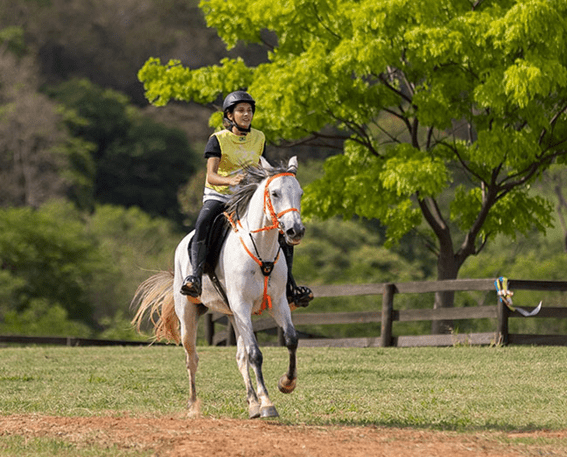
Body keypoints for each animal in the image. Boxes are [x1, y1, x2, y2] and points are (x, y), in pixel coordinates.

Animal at [133, 156, 304, 416]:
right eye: (274, 193)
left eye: (300, 193)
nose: (296, 230)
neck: (260, 250)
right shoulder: (242, 306)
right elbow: (255, 354)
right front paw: (268, 403)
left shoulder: (277, 304)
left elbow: (291, 340)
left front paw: (286, 383)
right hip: (190, 316)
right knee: (192, 358)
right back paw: (194, 406)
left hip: (232, 315)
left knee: (240, 358)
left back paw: (252, 403)